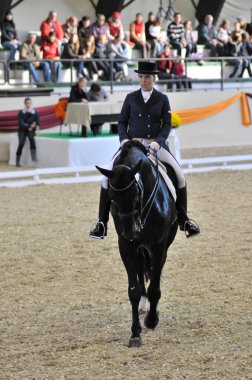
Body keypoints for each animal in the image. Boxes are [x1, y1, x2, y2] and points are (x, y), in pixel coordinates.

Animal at [96, 140, 177, 348]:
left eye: (136, 194)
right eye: (111, 198)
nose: (131, 232)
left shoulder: (159, 247)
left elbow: (155, 287)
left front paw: (152, 320)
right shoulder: (126, 247)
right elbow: (133, 290)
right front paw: (135, 334)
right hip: (138, 249)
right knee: (141, 271)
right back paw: (143, 304)